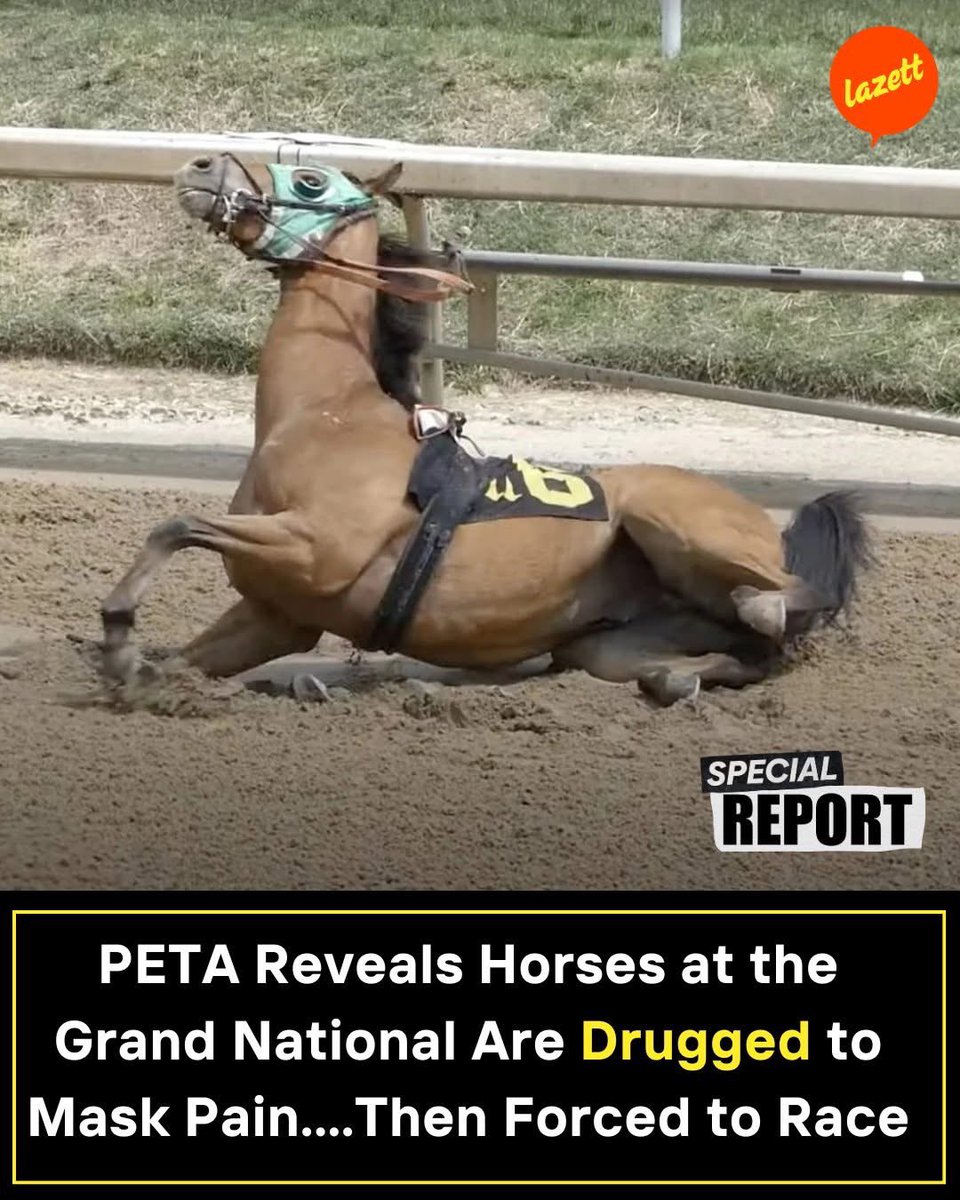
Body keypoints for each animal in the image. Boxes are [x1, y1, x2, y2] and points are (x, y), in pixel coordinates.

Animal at [98, 152, 871, 706]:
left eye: (311, 179)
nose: (200, 166)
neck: (321, 412)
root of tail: (765, 525)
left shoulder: (317, 548)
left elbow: (176, 524)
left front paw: (118, 632)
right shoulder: (274, 612)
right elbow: (190, 645)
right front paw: (136, 668)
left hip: (674, 519)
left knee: (791, 605)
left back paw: (763, 605)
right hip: (612, 644)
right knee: (736, 659)